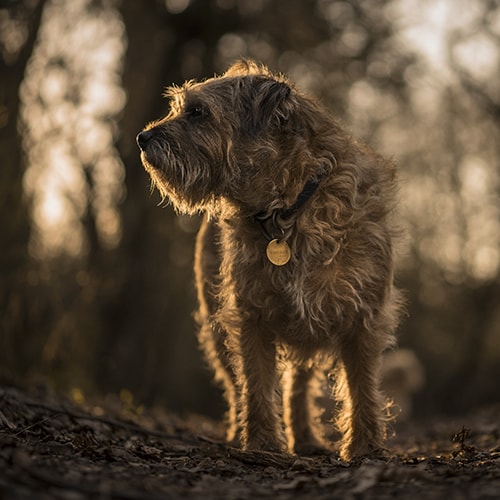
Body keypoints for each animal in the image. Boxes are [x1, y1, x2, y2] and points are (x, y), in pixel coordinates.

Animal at [137, 59, 402, 460]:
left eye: (198, 112)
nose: (142, 137)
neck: (288, 207)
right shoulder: (250, 316)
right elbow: (256, 384)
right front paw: (262, 444)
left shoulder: (363, 317)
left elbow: (362, 385)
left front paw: (366, 446)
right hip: (218, 326)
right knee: (237, 385)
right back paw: (241, 433)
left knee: (299, 385)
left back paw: (305, 438)